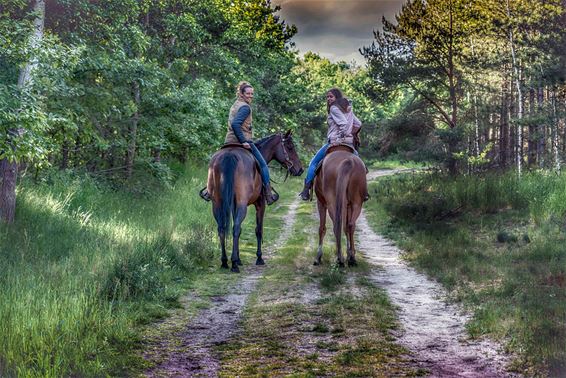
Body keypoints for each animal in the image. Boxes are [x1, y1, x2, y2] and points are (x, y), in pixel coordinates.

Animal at [207, 130, 306, 272]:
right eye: (290, 147)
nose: (300, 169)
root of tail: (229, 155)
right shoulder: (260, 204)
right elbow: (258, 230)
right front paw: (259, 258)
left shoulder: (234, 206)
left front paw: (239, 258)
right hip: (242, 204)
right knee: (235, 228)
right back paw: (234, 264)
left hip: (217, 204)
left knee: (222, 229)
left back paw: (225, 262)